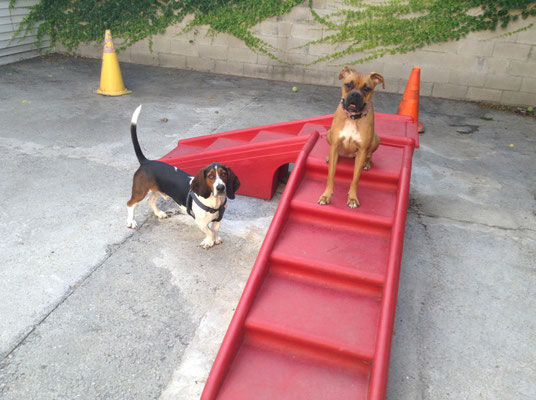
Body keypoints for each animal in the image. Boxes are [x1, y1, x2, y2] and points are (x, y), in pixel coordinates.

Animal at [126, 106, 240, 250]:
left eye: (224, 174)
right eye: (211, 176)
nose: (220, 188)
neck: (215, 201)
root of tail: (146, 162)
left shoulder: (219, 218)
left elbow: (215, 229)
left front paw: (216, 238)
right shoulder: (200, 222)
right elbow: (209, 231)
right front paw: (209, 241)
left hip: (157, 189)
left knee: (150, 201)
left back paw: (159, 213)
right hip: (140, 191)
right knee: (130, 204)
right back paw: (131, 221)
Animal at [318, 67, 386, 208]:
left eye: (366, 88)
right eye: (348, 84)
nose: (355, 95)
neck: (352, 117)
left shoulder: (362, 151)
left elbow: (355, 179)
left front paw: (353, 198)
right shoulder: (335, 144)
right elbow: (330, 176)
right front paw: (326, 195)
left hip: (376, 139)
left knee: (370, 155)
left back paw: (367, 163)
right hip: (329, 135)